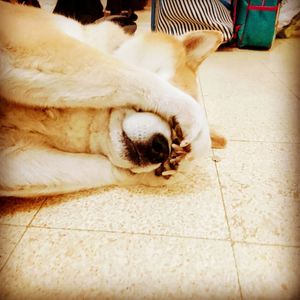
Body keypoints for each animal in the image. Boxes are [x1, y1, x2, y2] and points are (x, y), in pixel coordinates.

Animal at [0, 1, 225, 197]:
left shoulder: (20, 156)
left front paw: (177, 167)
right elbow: (132, 76)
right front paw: (197, 125)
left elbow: (103, 168)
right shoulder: (33, 41)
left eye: (174, 141)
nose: (162, 150)